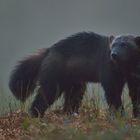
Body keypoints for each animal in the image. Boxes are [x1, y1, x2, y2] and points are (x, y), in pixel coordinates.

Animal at [9, 31, 140, 117]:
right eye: (113, 45)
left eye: (124, 44)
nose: (114, 54)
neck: (125, 67)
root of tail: (48, 51)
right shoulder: (108, 69)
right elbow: (113, 92)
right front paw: (119, 114)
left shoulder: (134, 75)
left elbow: (135, 93)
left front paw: (136, 114)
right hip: (54, 76)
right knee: (45, 95)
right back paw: (36, 114)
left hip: (74, 82)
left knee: (73, 97)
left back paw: (70, 113)